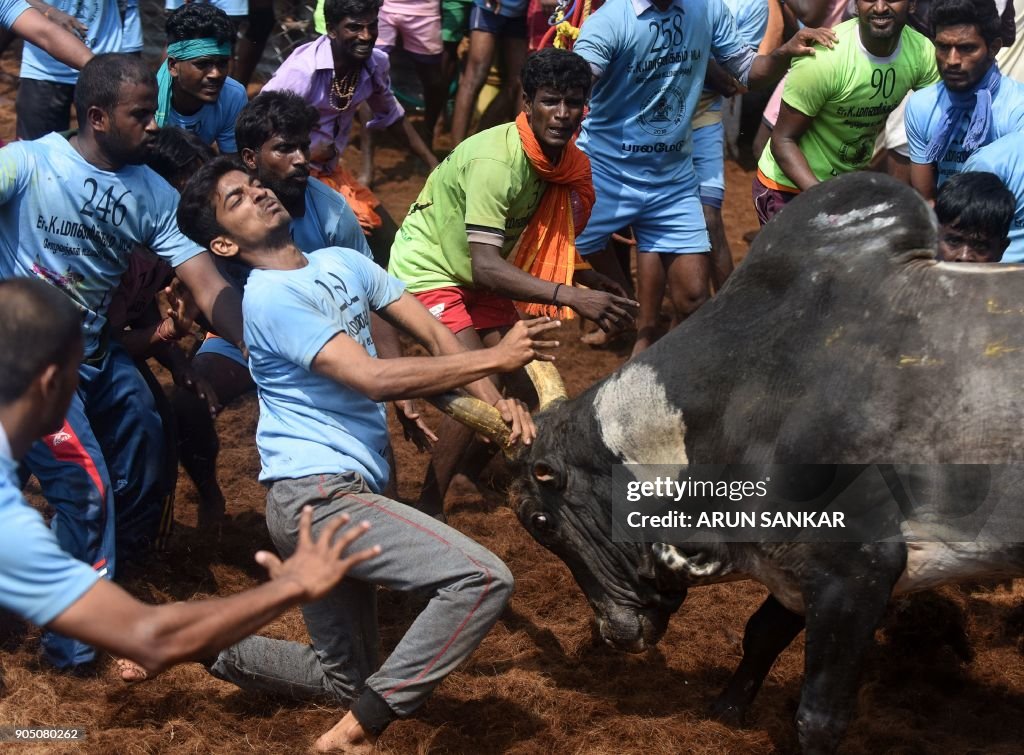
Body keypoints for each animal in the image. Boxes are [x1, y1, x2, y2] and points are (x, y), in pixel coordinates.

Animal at [509, 175, 1024, 753]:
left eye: (539, 521)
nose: (612, 632)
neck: (745, 396)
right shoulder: (796, 567)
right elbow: (760, 635)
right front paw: (726, 710)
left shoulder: (856, 568)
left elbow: (819, 717)